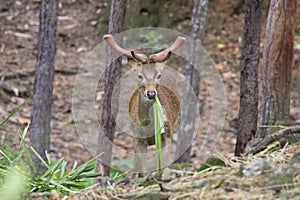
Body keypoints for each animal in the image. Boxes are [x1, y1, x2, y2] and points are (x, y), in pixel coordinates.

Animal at [104, 34, 186, 175]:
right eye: (139, 76)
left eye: (158, 76)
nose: (151, 93)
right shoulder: (137, 139)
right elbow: (142, 170)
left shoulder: (167, 135)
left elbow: (163, 165)